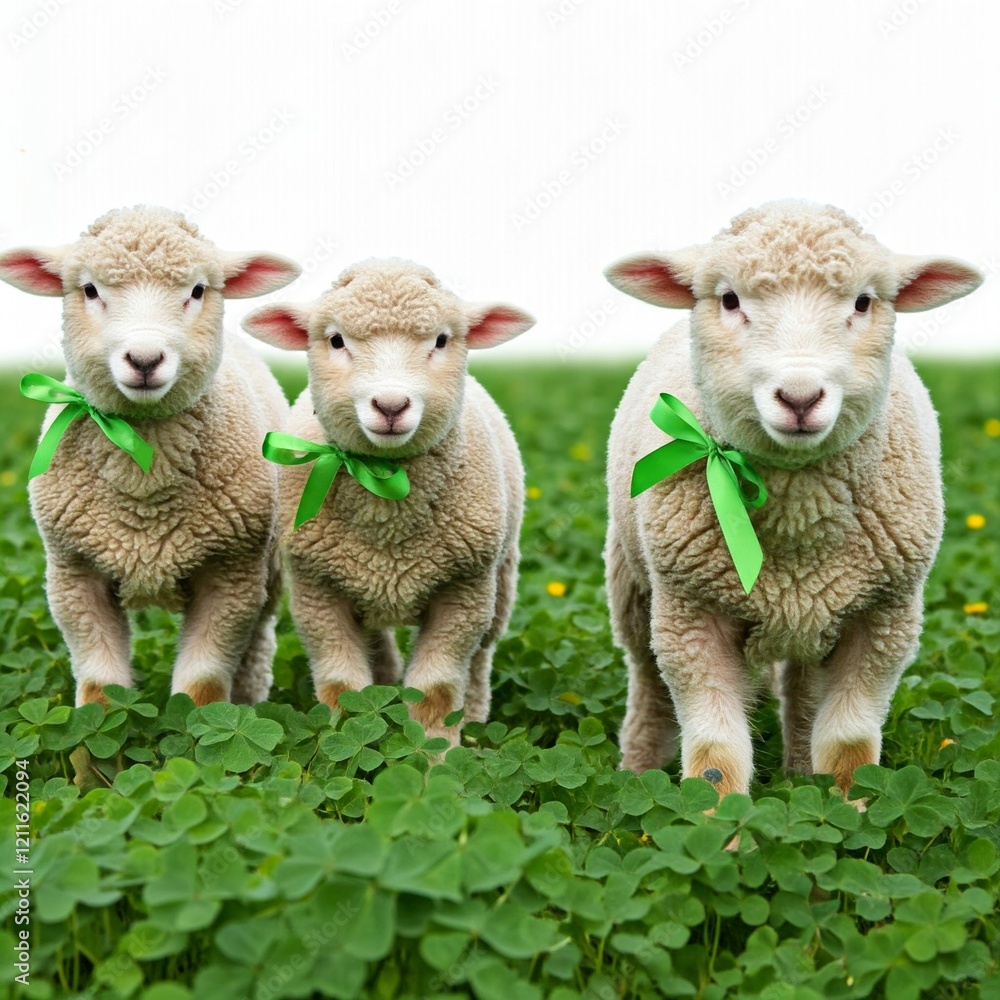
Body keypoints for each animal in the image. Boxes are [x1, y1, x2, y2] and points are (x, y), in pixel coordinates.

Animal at [0, 206, 301, 707]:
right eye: (89, 289)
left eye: (197, 290)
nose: (144, 360)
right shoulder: (73, 576)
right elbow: (100, 688)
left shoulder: (230, 577)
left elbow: (201, 688)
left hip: (266, 577)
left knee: (257, 651)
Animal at [241, 258, 534, 740]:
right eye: (336, 340)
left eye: (441, 340)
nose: (392, 406)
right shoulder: (317, 593)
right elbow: (342, 686)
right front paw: (345, 740)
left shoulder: (463, 593)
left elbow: (436, 692)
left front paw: (437, 751)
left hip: (500, 579)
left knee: (480, 659)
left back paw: (474, 723)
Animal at [603, 200, 983, 800]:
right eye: (729, 299)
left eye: (863, 301)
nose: (800, 397)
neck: (800, 521)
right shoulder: (690, 618)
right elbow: (715, 753)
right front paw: (715, 817)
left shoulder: (885, 619)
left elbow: (849, 744)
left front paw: (851, 807)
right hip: (634, 586)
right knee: (646, 681)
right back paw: (637, 769)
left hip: (816, 617)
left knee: (803, 695)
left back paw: (802, 773)